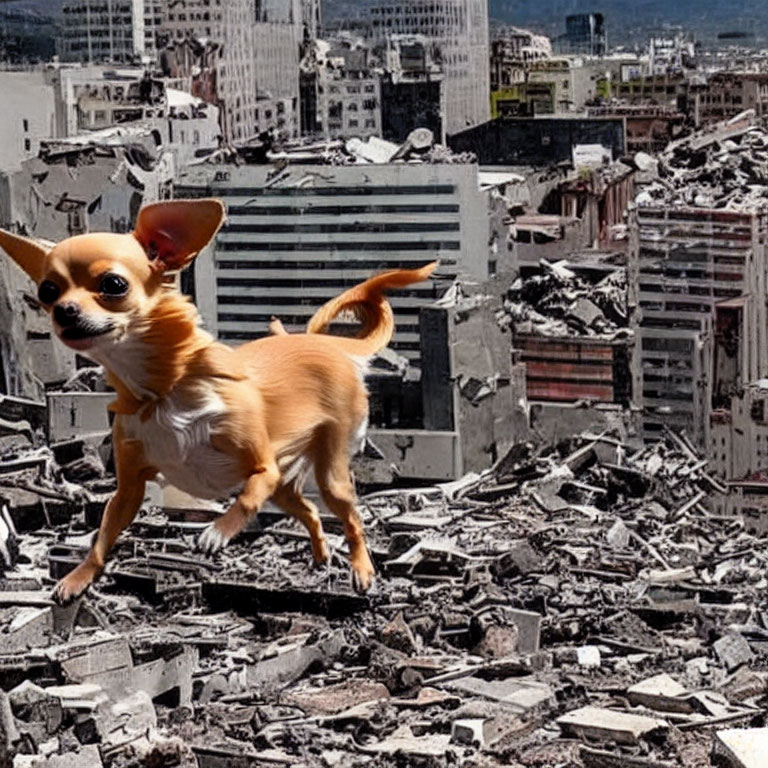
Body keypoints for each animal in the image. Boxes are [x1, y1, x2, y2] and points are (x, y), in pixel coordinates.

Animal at [0, 200, 436, 608]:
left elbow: (246, 498)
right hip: (286, 489)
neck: (164, 387)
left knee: (352, 519)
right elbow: (103, 536)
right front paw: (78, 577)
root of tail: (330, 344)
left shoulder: (262, 469)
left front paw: (217, 532)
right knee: (311, 512)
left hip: (330, 475)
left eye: (113, 284)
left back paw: (362, 570)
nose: (63, 311)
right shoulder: (128, 491)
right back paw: (320, 554)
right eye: (48, 291)